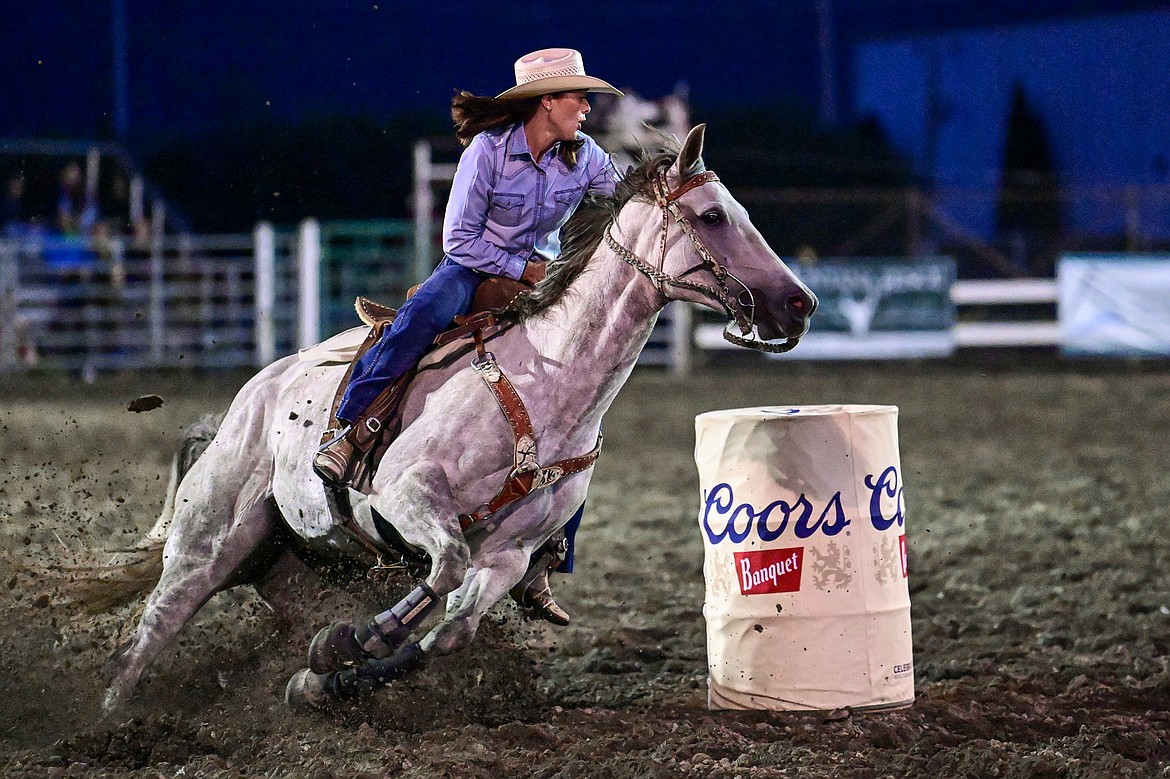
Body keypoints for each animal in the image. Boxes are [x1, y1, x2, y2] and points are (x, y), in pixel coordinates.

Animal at [98, 125, 814, 711]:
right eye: (714, 216)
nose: (799, 303)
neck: (547, 386)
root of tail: (253, 396)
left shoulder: (509, 555)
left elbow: (449, 633)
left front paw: (323, 677)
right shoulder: (407, 495)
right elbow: (441, 569)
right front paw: (350, 641)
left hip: (297, 554)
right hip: (207, 542)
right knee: (151, 630)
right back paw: (107, 720)